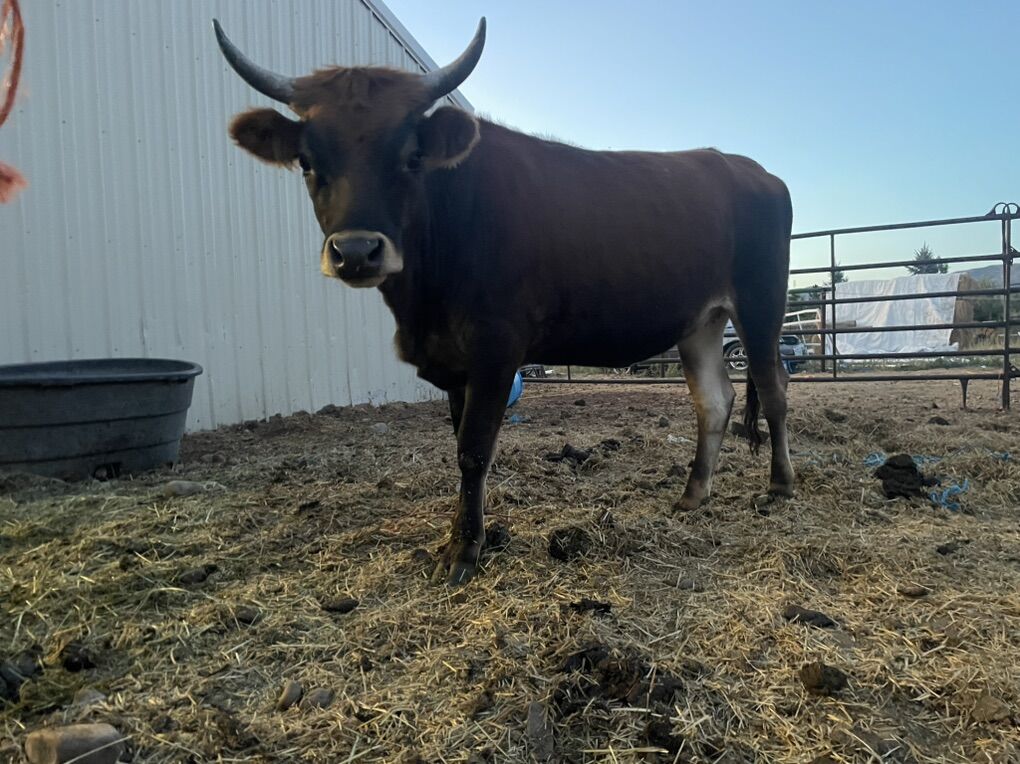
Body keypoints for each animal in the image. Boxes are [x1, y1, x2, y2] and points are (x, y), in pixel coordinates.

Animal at [213, 18, 795, 585]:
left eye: (412, 156)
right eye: (307, 161)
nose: (356, 251)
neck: (422, 302)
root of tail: (750, 169)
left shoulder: (497, 347)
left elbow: (473, 451)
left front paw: (463, 550)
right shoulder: (455, 361)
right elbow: (463, 446)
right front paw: (467, 535)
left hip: (761, 301)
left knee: (774, 388)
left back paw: (780, 485)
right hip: (700, 321)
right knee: (714, 400)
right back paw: (692, 496)